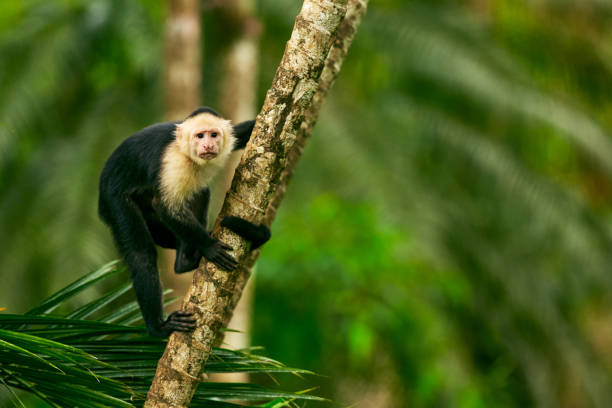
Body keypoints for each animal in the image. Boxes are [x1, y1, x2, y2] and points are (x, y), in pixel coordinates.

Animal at [98, 107, 270, 336]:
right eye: (200, 136)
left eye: (213, 134)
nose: (208, 145)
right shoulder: (174, 160)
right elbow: (166, 207)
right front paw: (210, 246)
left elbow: (245, 131)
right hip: (114, 201)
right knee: (142, 254)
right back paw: (158, 327)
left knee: (199, 190)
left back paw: (185, 261)